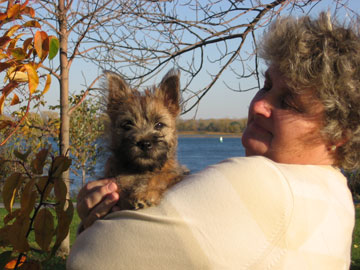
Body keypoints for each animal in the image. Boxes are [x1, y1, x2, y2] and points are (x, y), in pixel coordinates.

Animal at [102, 68, 188, 210]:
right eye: (127, 125)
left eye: (159, 125)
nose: (145, 143)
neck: (141, 170)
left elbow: (162, 176)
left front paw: (145, 194)